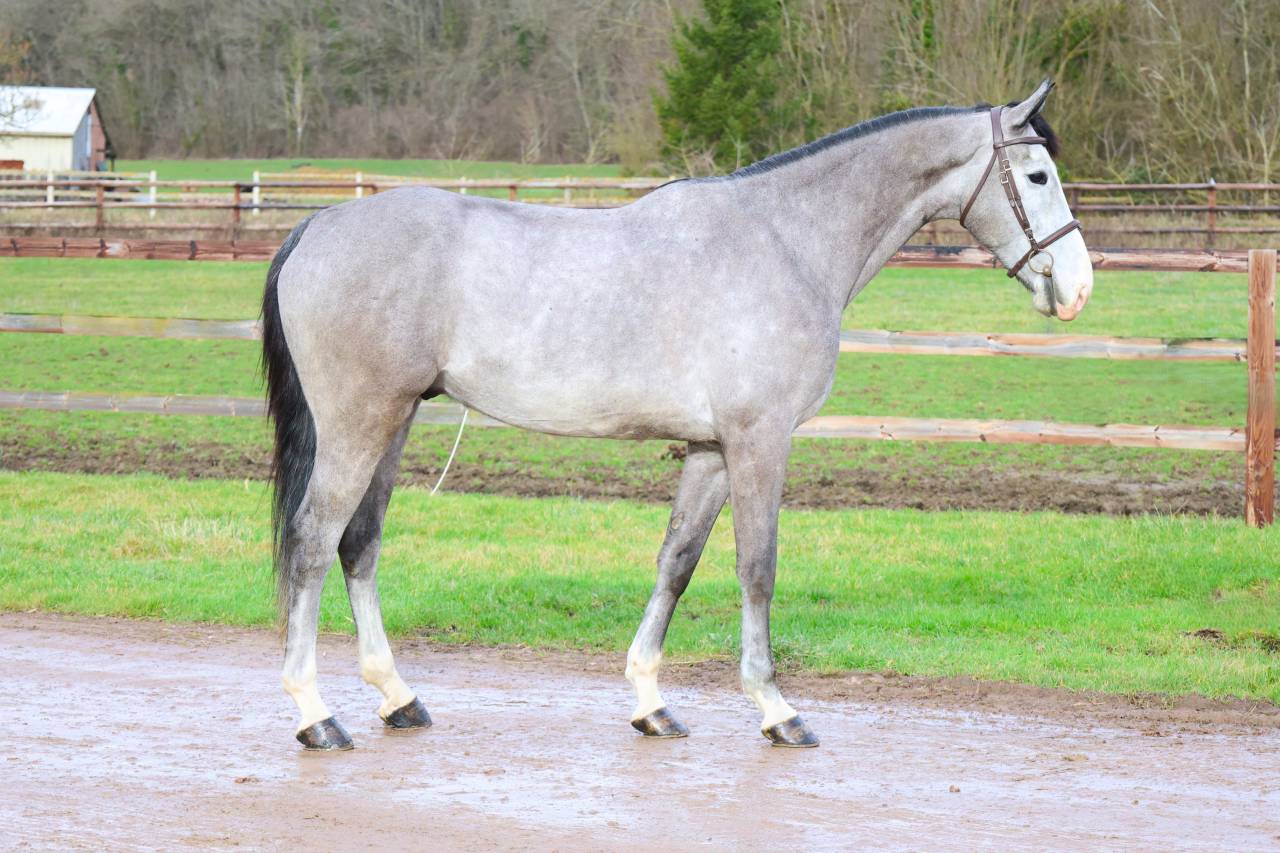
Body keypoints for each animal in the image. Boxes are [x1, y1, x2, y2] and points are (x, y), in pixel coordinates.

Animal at [261, 79, 1092, 750]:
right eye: (1038, 174)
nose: (1078, 286)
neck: (786, 241)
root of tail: (319, 224)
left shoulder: (710, 447)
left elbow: (679, 561)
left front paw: (651, 701)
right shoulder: (760, 441)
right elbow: (757, 568)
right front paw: (776, 707)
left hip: (394, 421)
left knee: (359, 543)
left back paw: (397, 696)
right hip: (358, 424)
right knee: (314, 540)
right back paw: (315, 713)